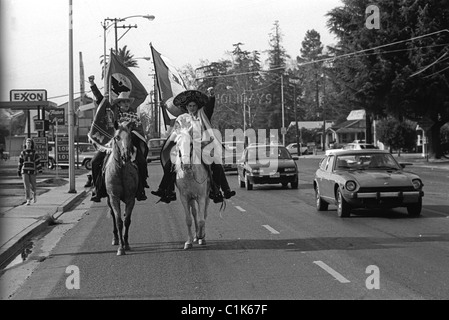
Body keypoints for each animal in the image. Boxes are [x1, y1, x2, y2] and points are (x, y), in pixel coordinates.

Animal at [104, 121, 138, 256]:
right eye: (117, 137)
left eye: (130, 137)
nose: (125, 156)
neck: (121, 170)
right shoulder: (114, 198)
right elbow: (119, 221)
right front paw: (120, 248)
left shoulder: (131, 199)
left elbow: (127, 220)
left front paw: (126, 244)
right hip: (109, 200)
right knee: (113, 216)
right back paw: (116, 239)